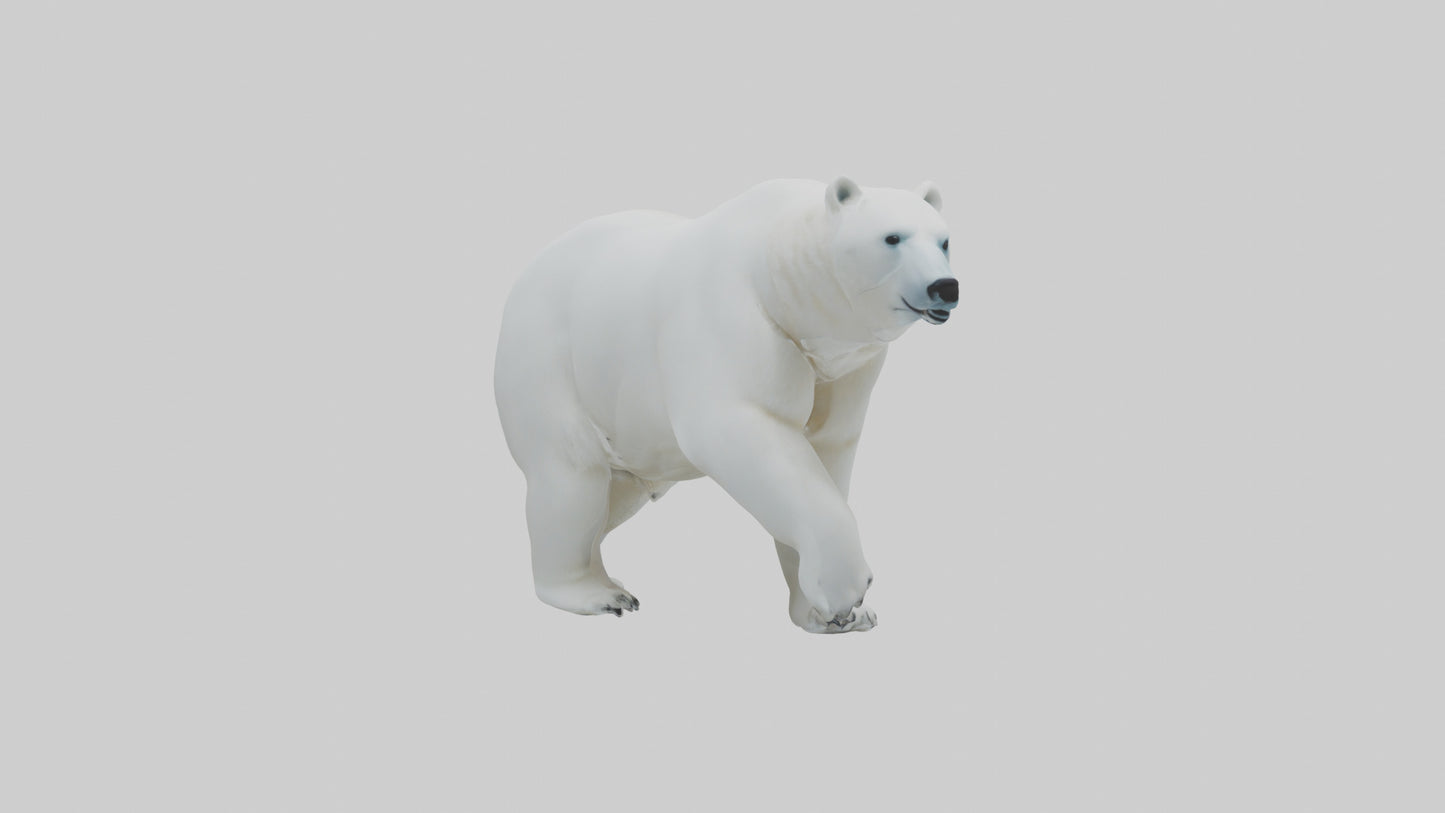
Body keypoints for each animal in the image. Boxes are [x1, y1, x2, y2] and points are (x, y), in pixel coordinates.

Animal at [494, 177, 957, 633]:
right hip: (549, 369)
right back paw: (598, 594)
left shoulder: (844, 367)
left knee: (617, 495)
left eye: (945, 241)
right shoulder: (733, 316)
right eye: (892, 237)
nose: (944, 287)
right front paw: (844, 590)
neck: (776, 266)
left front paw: (831, 613)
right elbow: (740, 430)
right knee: (572, 481)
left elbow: (828, 447)